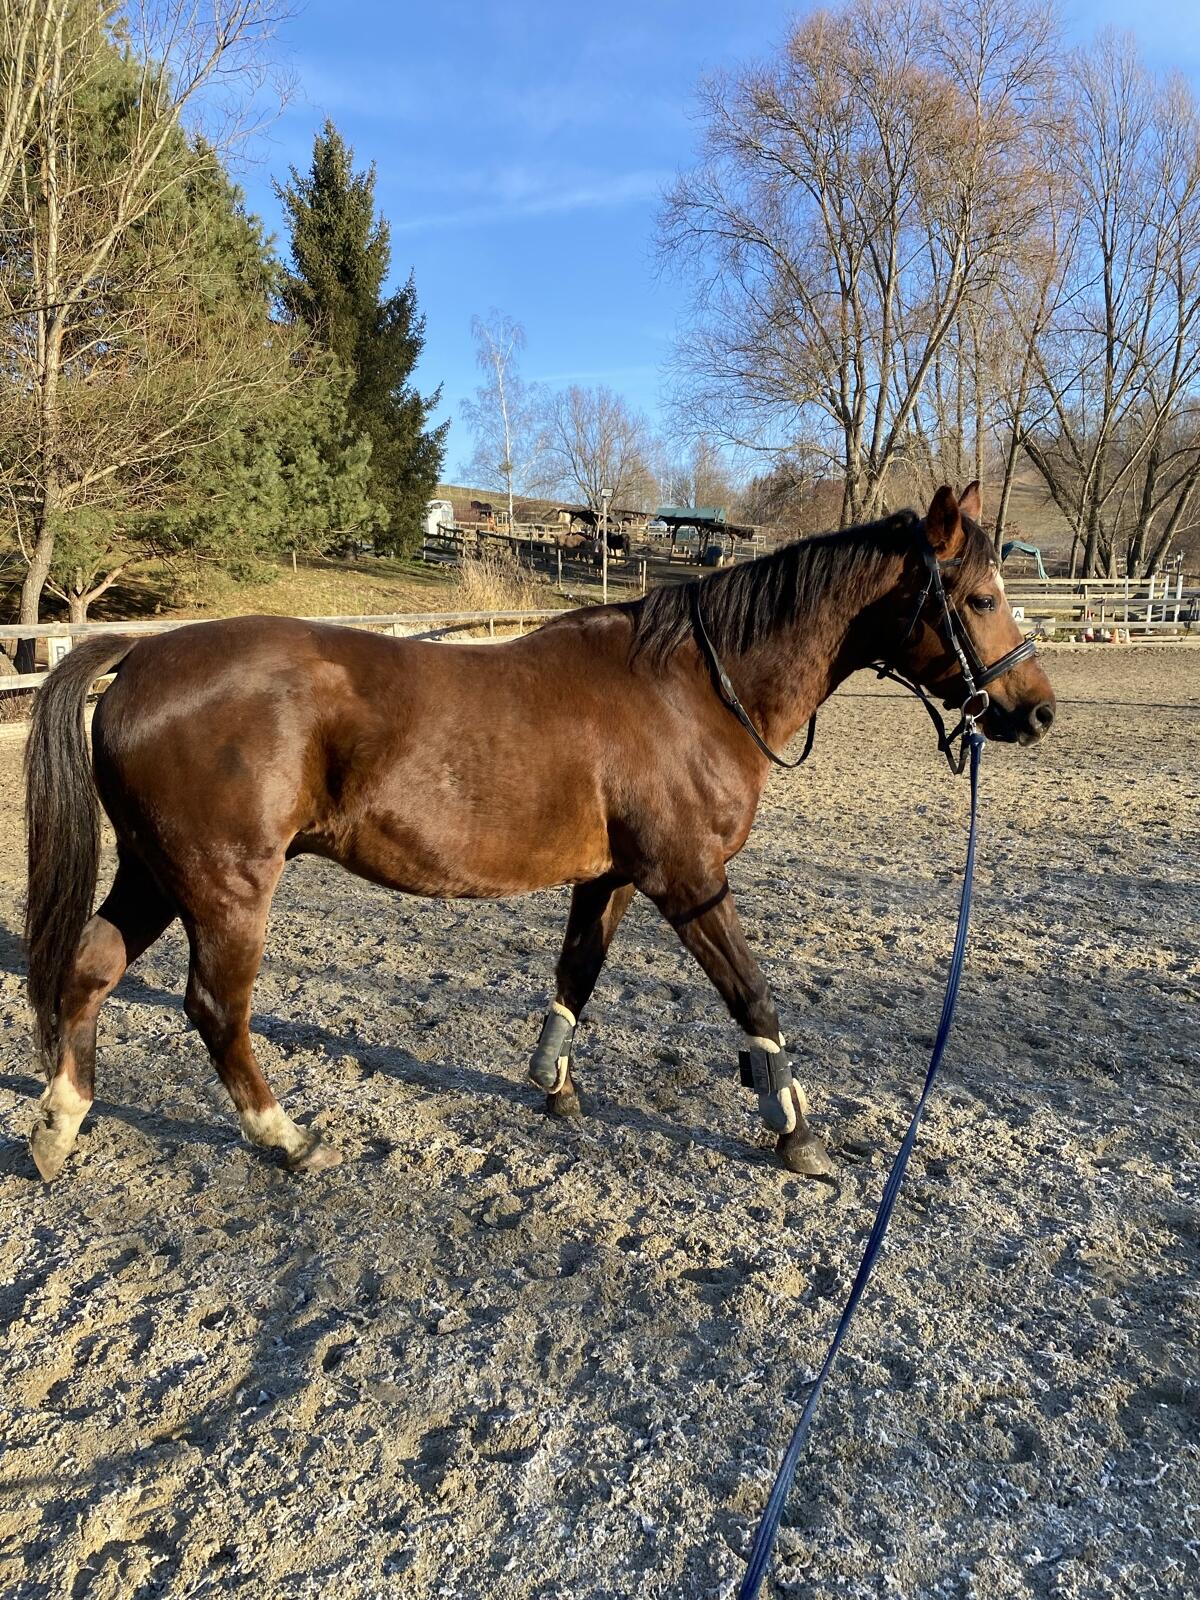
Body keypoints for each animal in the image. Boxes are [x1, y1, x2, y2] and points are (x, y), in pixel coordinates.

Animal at [23, 484, 1055, 1184]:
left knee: (91, 970)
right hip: (226, 887)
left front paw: (555, 1084)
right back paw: (284, 1136)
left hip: (156, 874)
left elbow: (577, 974)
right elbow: (754, 999)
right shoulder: (689, 881)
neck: (690, 690)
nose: (1036, 711)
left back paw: (58, 1125)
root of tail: (142, 655)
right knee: (214, 1010)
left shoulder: (612, 877)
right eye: (977, 598)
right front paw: (793, 1127)